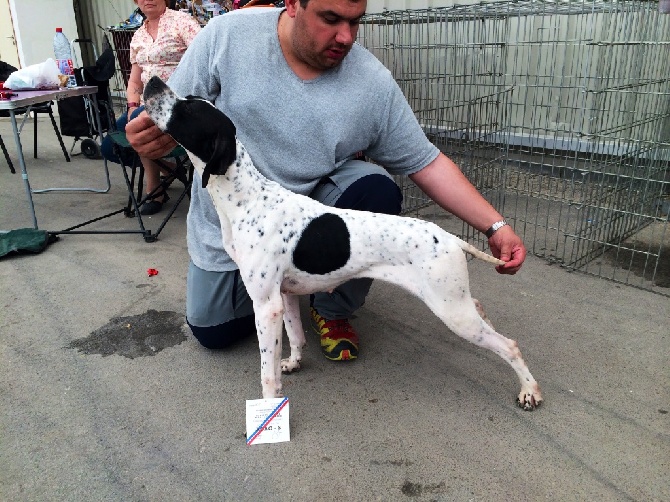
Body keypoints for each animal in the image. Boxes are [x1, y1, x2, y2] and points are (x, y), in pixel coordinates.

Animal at [144, 76, 544, 410]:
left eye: (187, 110)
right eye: (190, 99)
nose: (152, 81)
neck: (248, 198)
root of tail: (448, 237)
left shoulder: (266, 305)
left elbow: (266, 370)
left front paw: (268, 408)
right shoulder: (285, 296)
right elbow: (296, 337)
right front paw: (293, 363)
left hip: (451, 311)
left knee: (508, 345)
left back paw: (529, 391)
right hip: (454, 301)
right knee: (478, 307)